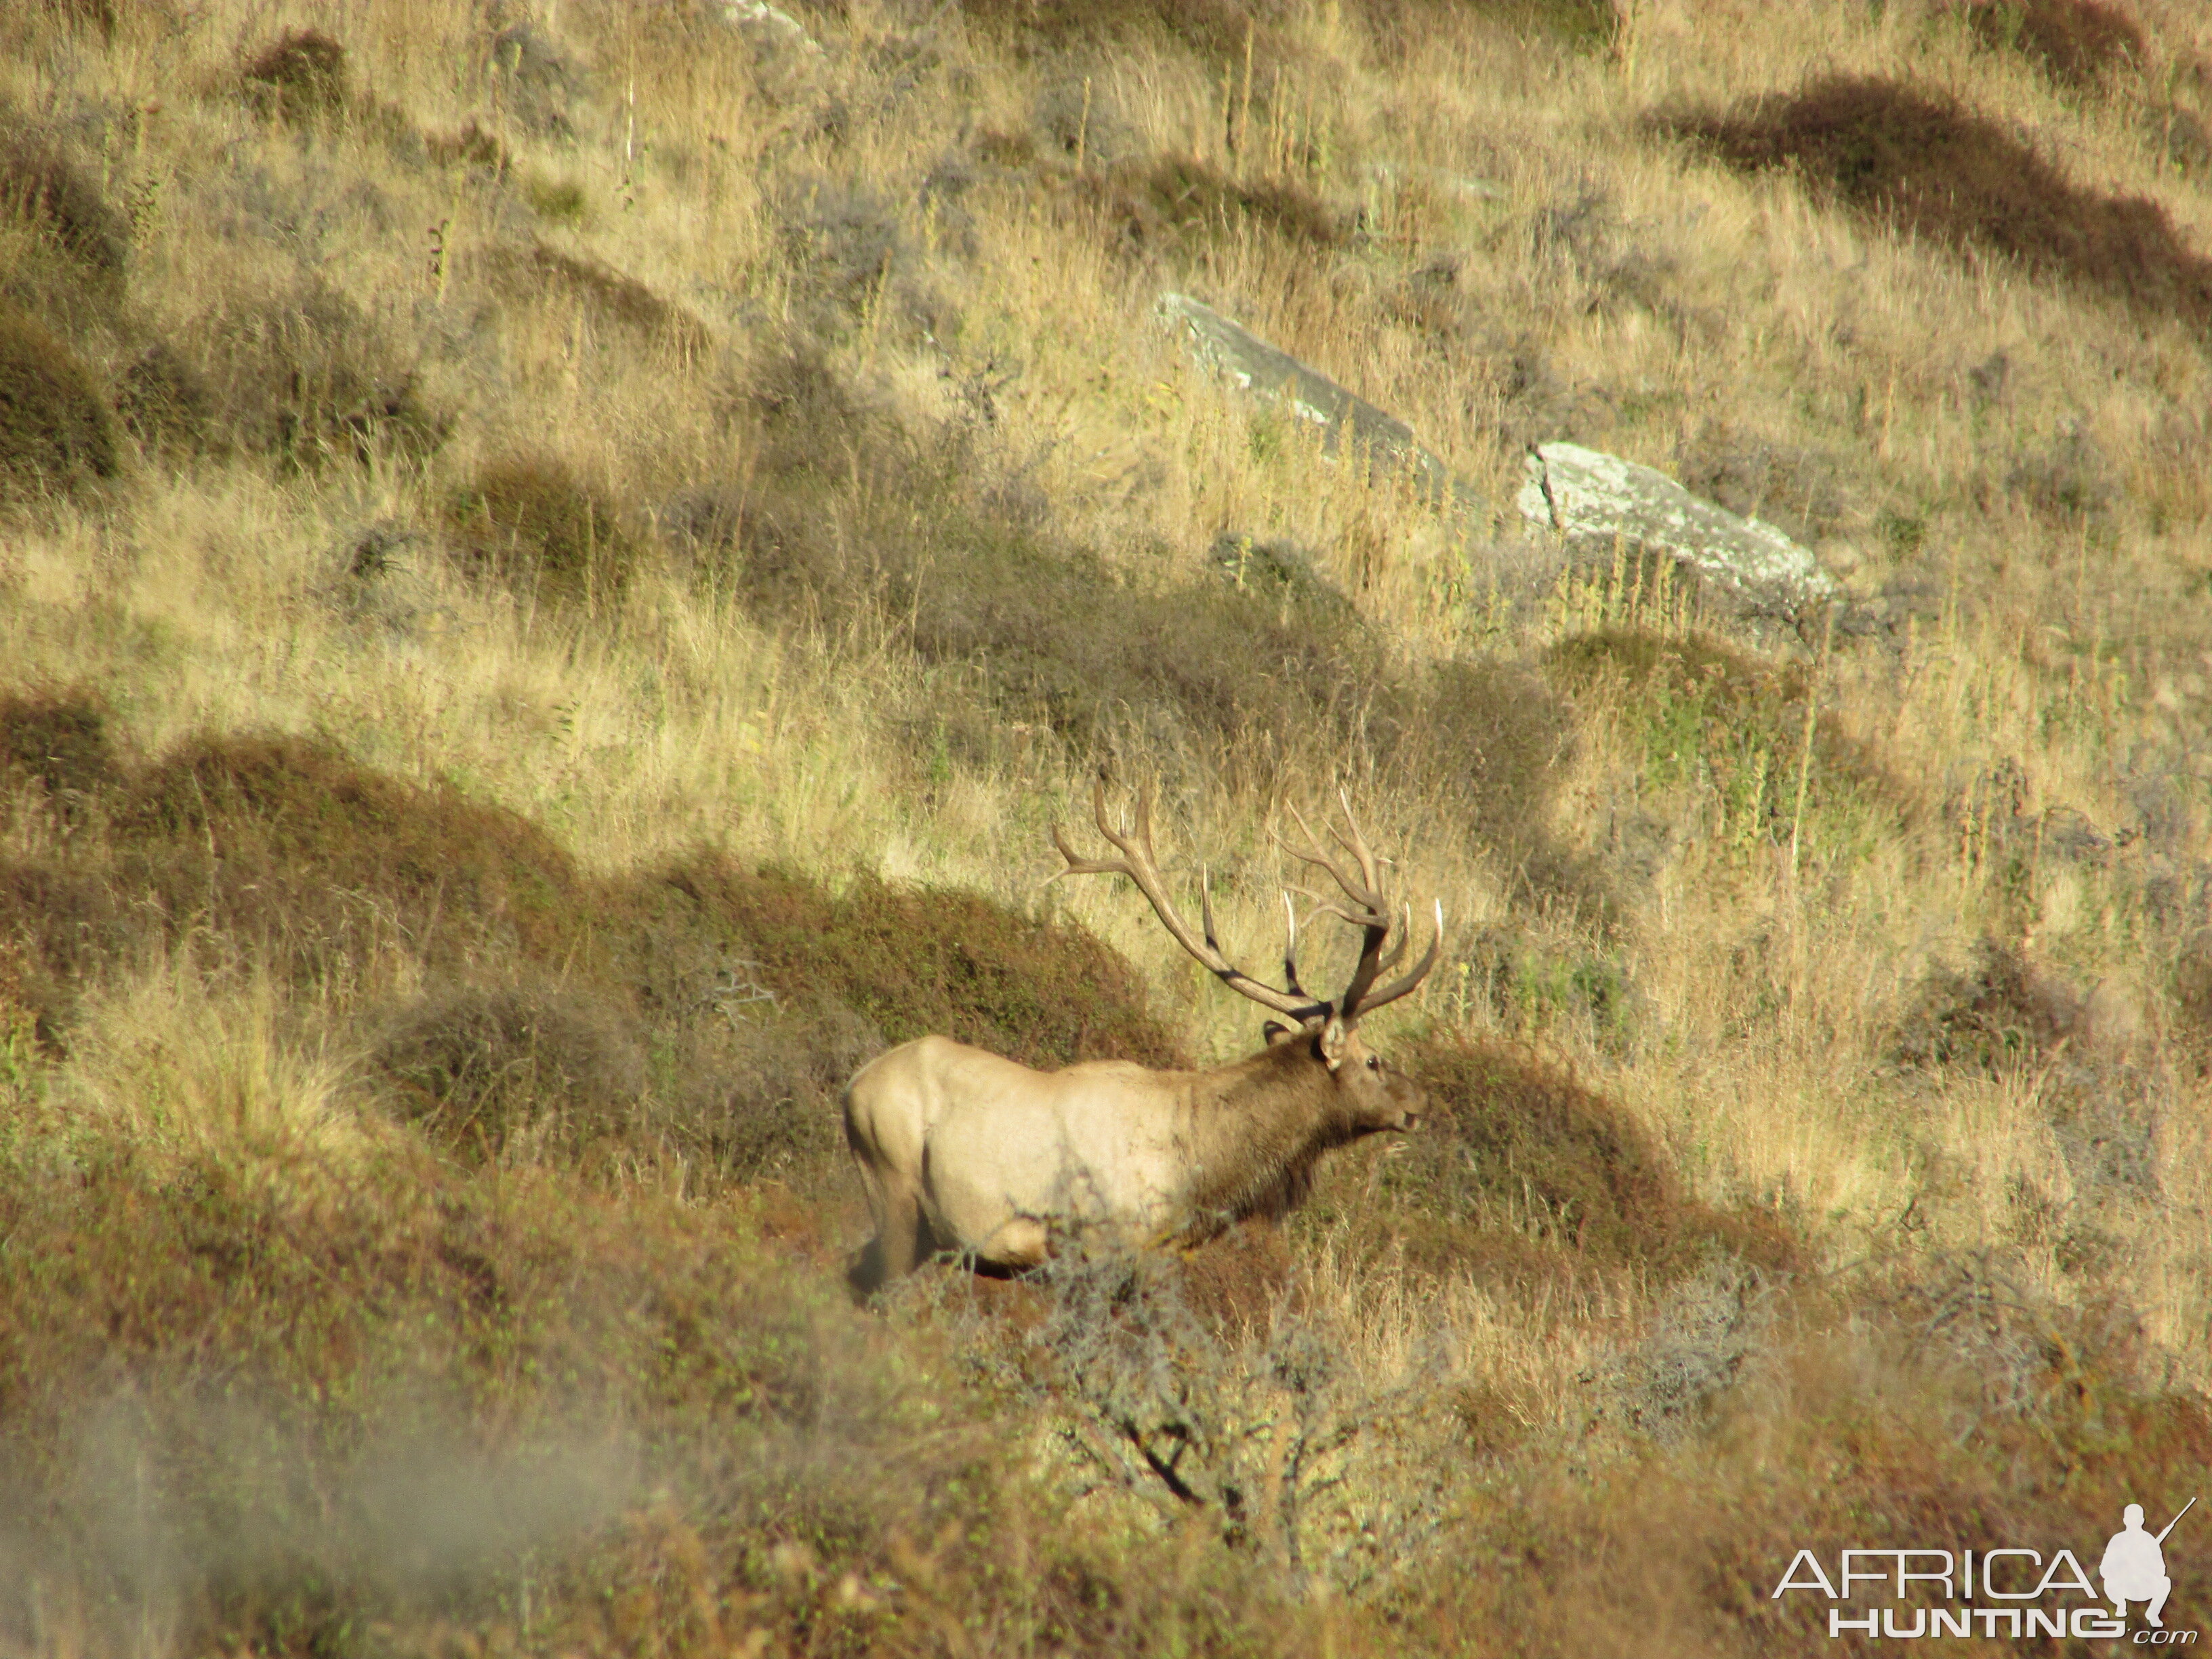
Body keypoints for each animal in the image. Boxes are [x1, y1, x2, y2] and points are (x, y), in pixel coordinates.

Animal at [836, 787, 1442, 1292]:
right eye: (1374, 1060)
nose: (1421, 1100)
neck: (1197, 1175)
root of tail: (851, 1087)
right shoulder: (1102, 1248)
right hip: (891, 1184)